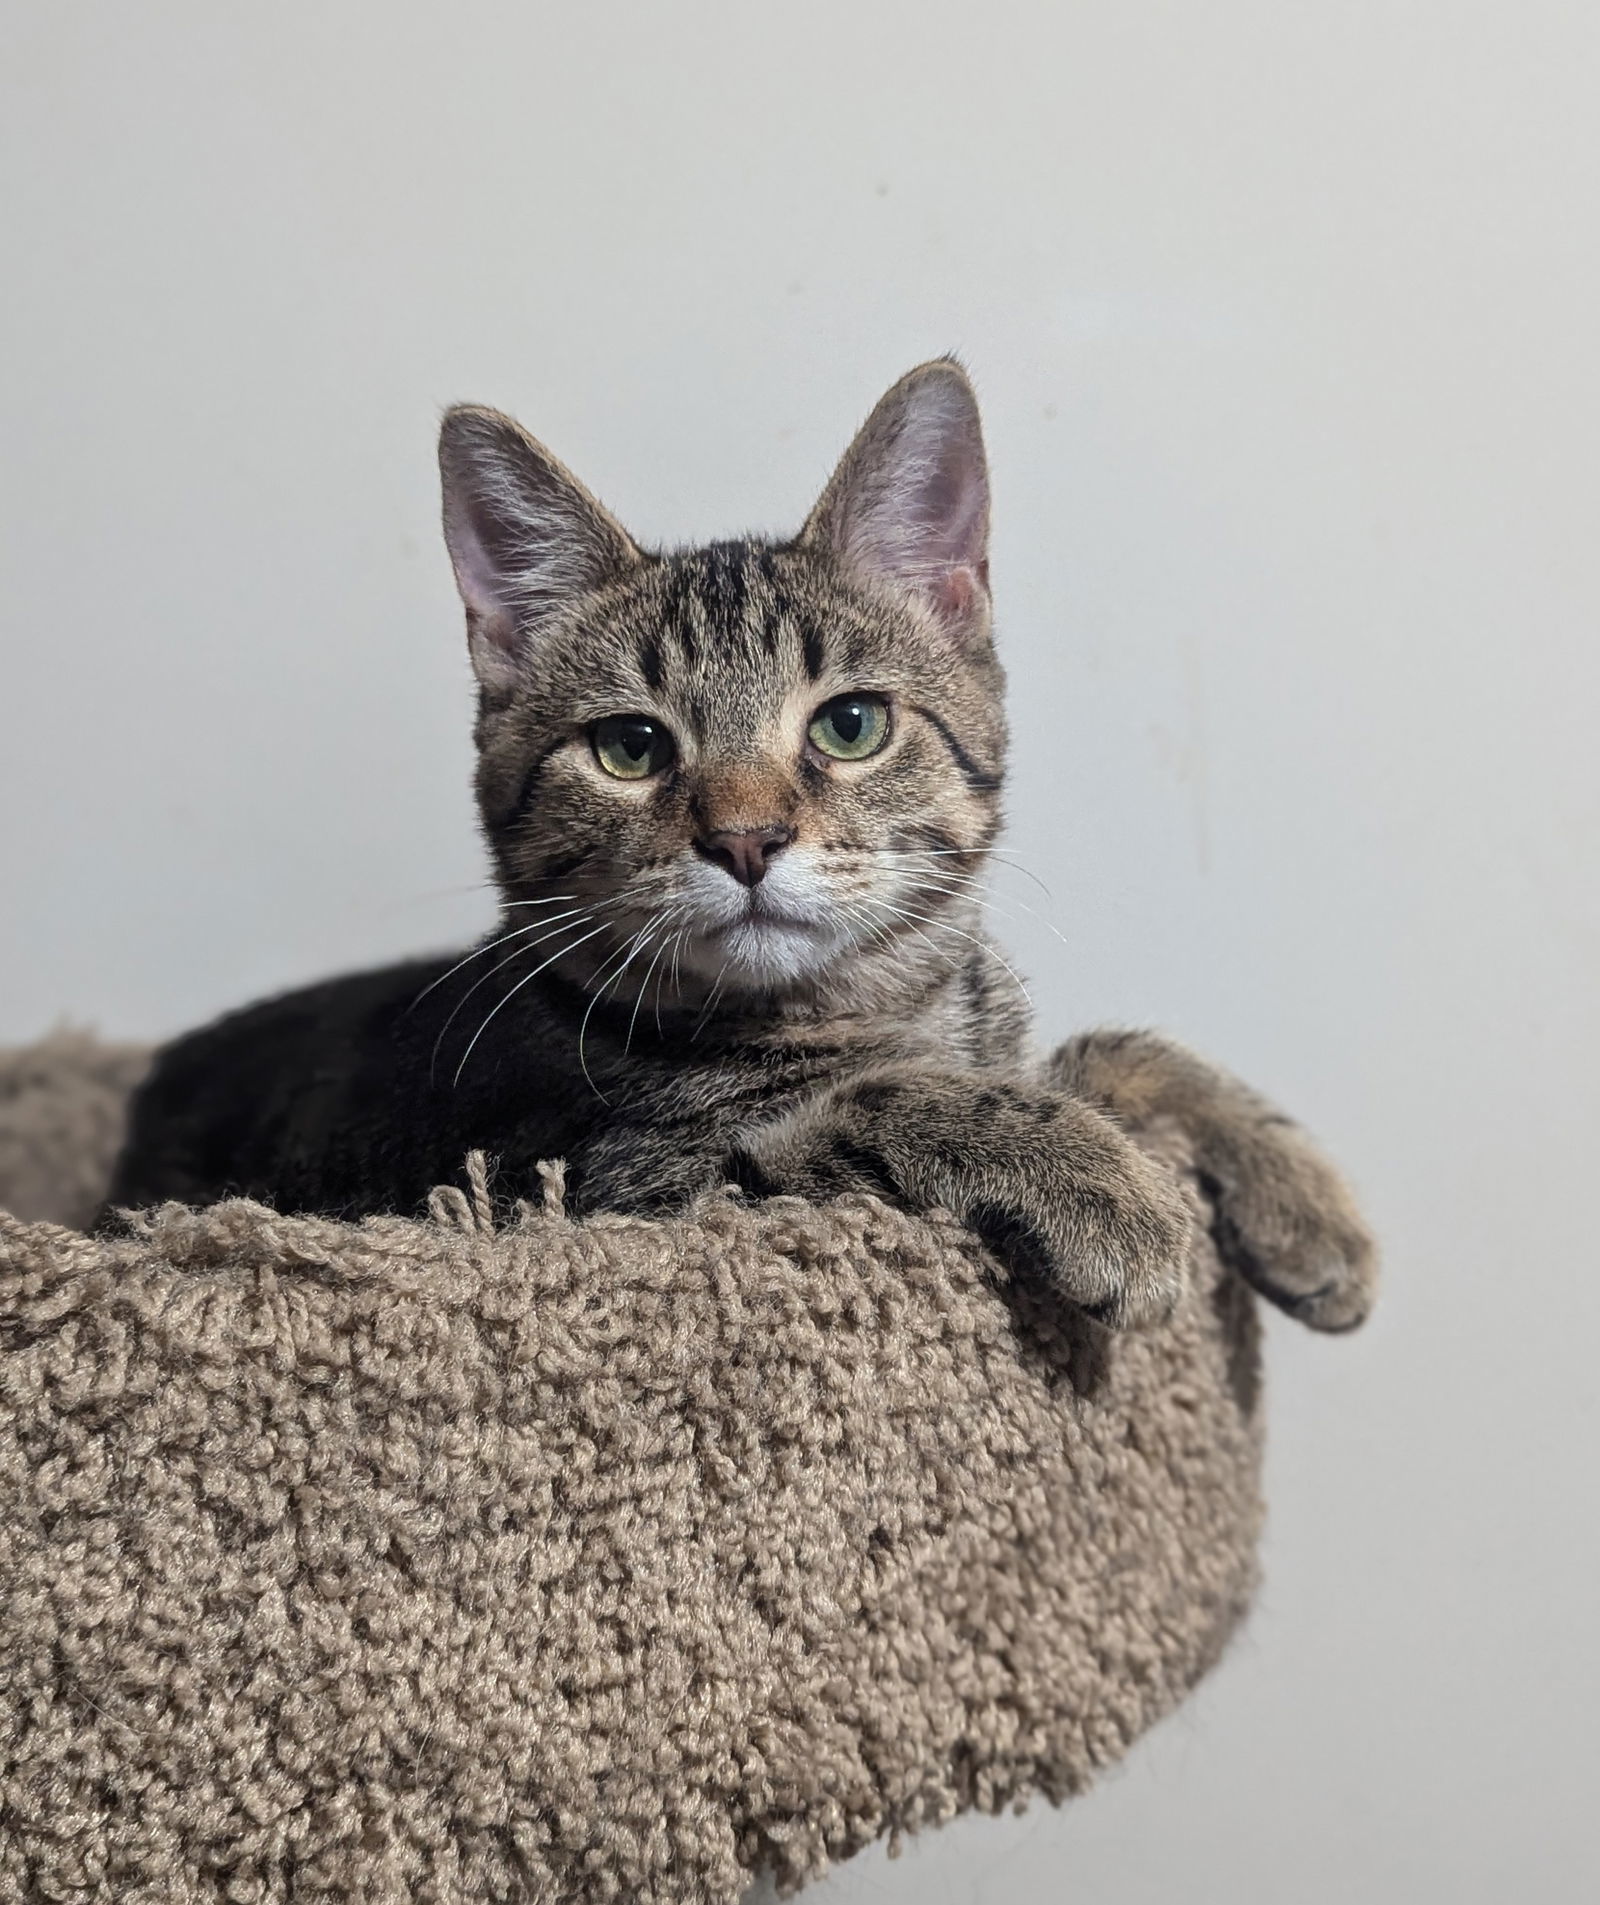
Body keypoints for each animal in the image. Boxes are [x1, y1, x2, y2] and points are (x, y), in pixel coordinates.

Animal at [106, 363, 1371, 1333]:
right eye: (628, 748)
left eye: (849, 725)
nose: (747, 838)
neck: (865, 1009)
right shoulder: (605, 1195)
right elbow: (882, 1100)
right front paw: (1113, 1189)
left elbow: (1102, 1047)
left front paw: (1301, 1198)